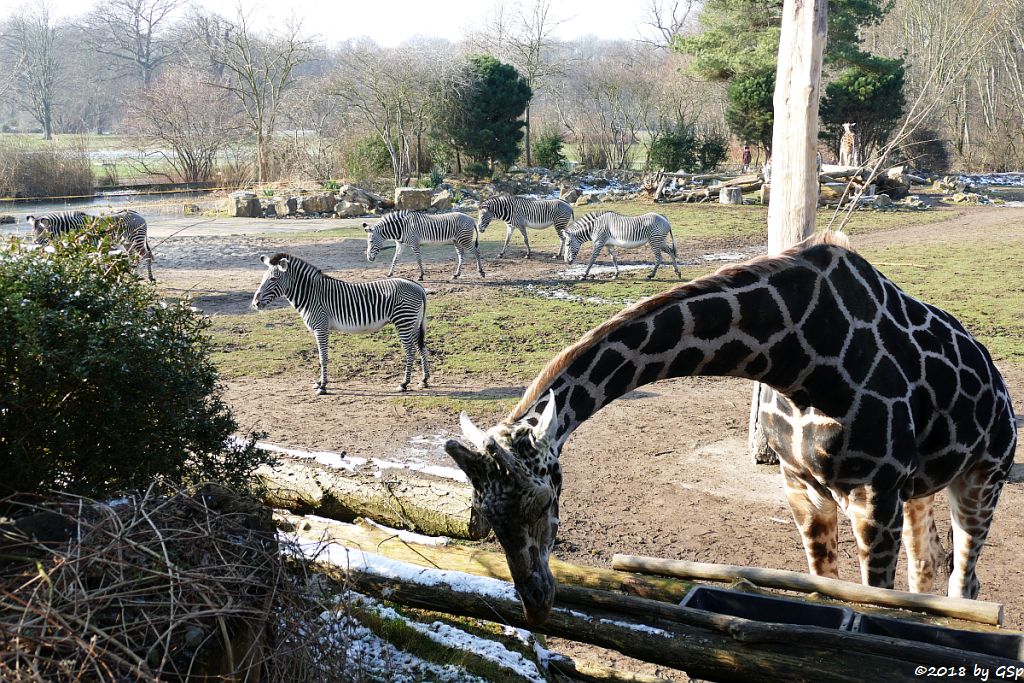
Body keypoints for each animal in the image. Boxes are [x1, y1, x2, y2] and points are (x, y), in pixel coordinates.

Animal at [251, 254, 428, 395]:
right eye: (263, 278)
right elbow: (320, 357)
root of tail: (418, 287)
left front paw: (323, 386)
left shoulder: (321, 327)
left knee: (410, 351)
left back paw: (404, 384)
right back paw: (424, 380)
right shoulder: (318, 329)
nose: (255, 303)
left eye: (273, 279)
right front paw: (318, 382)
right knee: (421, 347)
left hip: (403, 321)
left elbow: (323, 358)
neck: (311, 295)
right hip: (412, 323)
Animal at [448, 229, 1015, 626]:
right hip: (921, 488)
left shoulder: (873, 494)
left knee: (965, 581)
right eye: (484, 517)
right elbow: (827, 590)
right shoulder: (801, 485)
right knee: (928, 569)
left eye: (545, 501)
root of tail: (999, 383)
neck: (795, 358)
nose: (538, 604)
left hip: (982, 479)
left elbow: (872, 603)